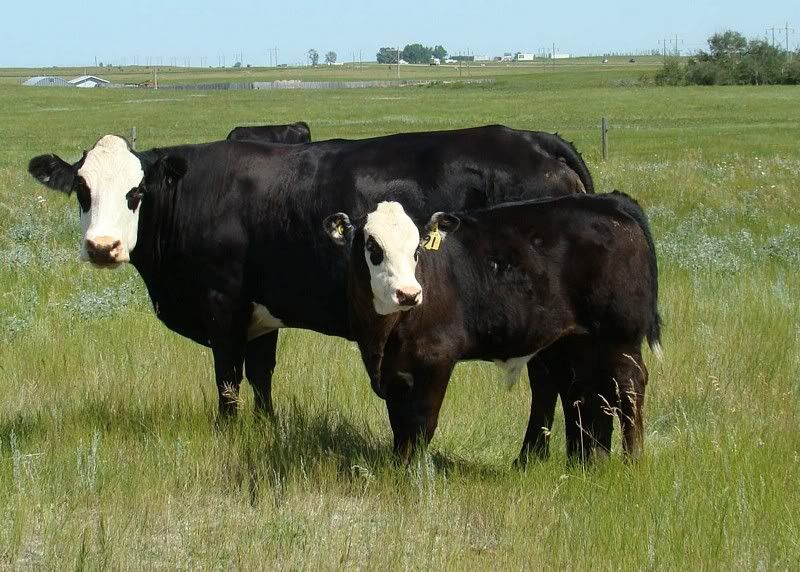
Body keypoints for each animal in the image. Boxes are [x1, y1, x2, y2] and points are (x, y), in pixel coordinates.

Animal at [27, 125, 593, 420]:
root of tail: (534, 138)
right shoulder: (259, 314)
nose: (102, 247)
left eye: (136, 192)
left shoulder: (222, 305)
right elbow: (261, 376)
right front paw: (266, 427)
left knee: (549, 382)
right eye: (82, 190)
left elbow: (228, 381)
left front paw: (230, 432)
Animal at [323, 194, 661, 464]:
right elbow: (400, 424)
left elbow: (422, 421)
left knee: (629, 386)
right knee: (591, 391)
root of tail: (610, 202)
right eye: (373, 246)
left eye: (416, 250)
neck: (382, 336)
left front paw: (414, 472)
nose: (408, 293)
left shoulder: (437, 358)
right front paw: (397, 466)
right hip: (579, 341)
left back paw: (632, 460)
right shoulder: (395, 372)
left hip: (620, 337)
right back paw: (590, 462)